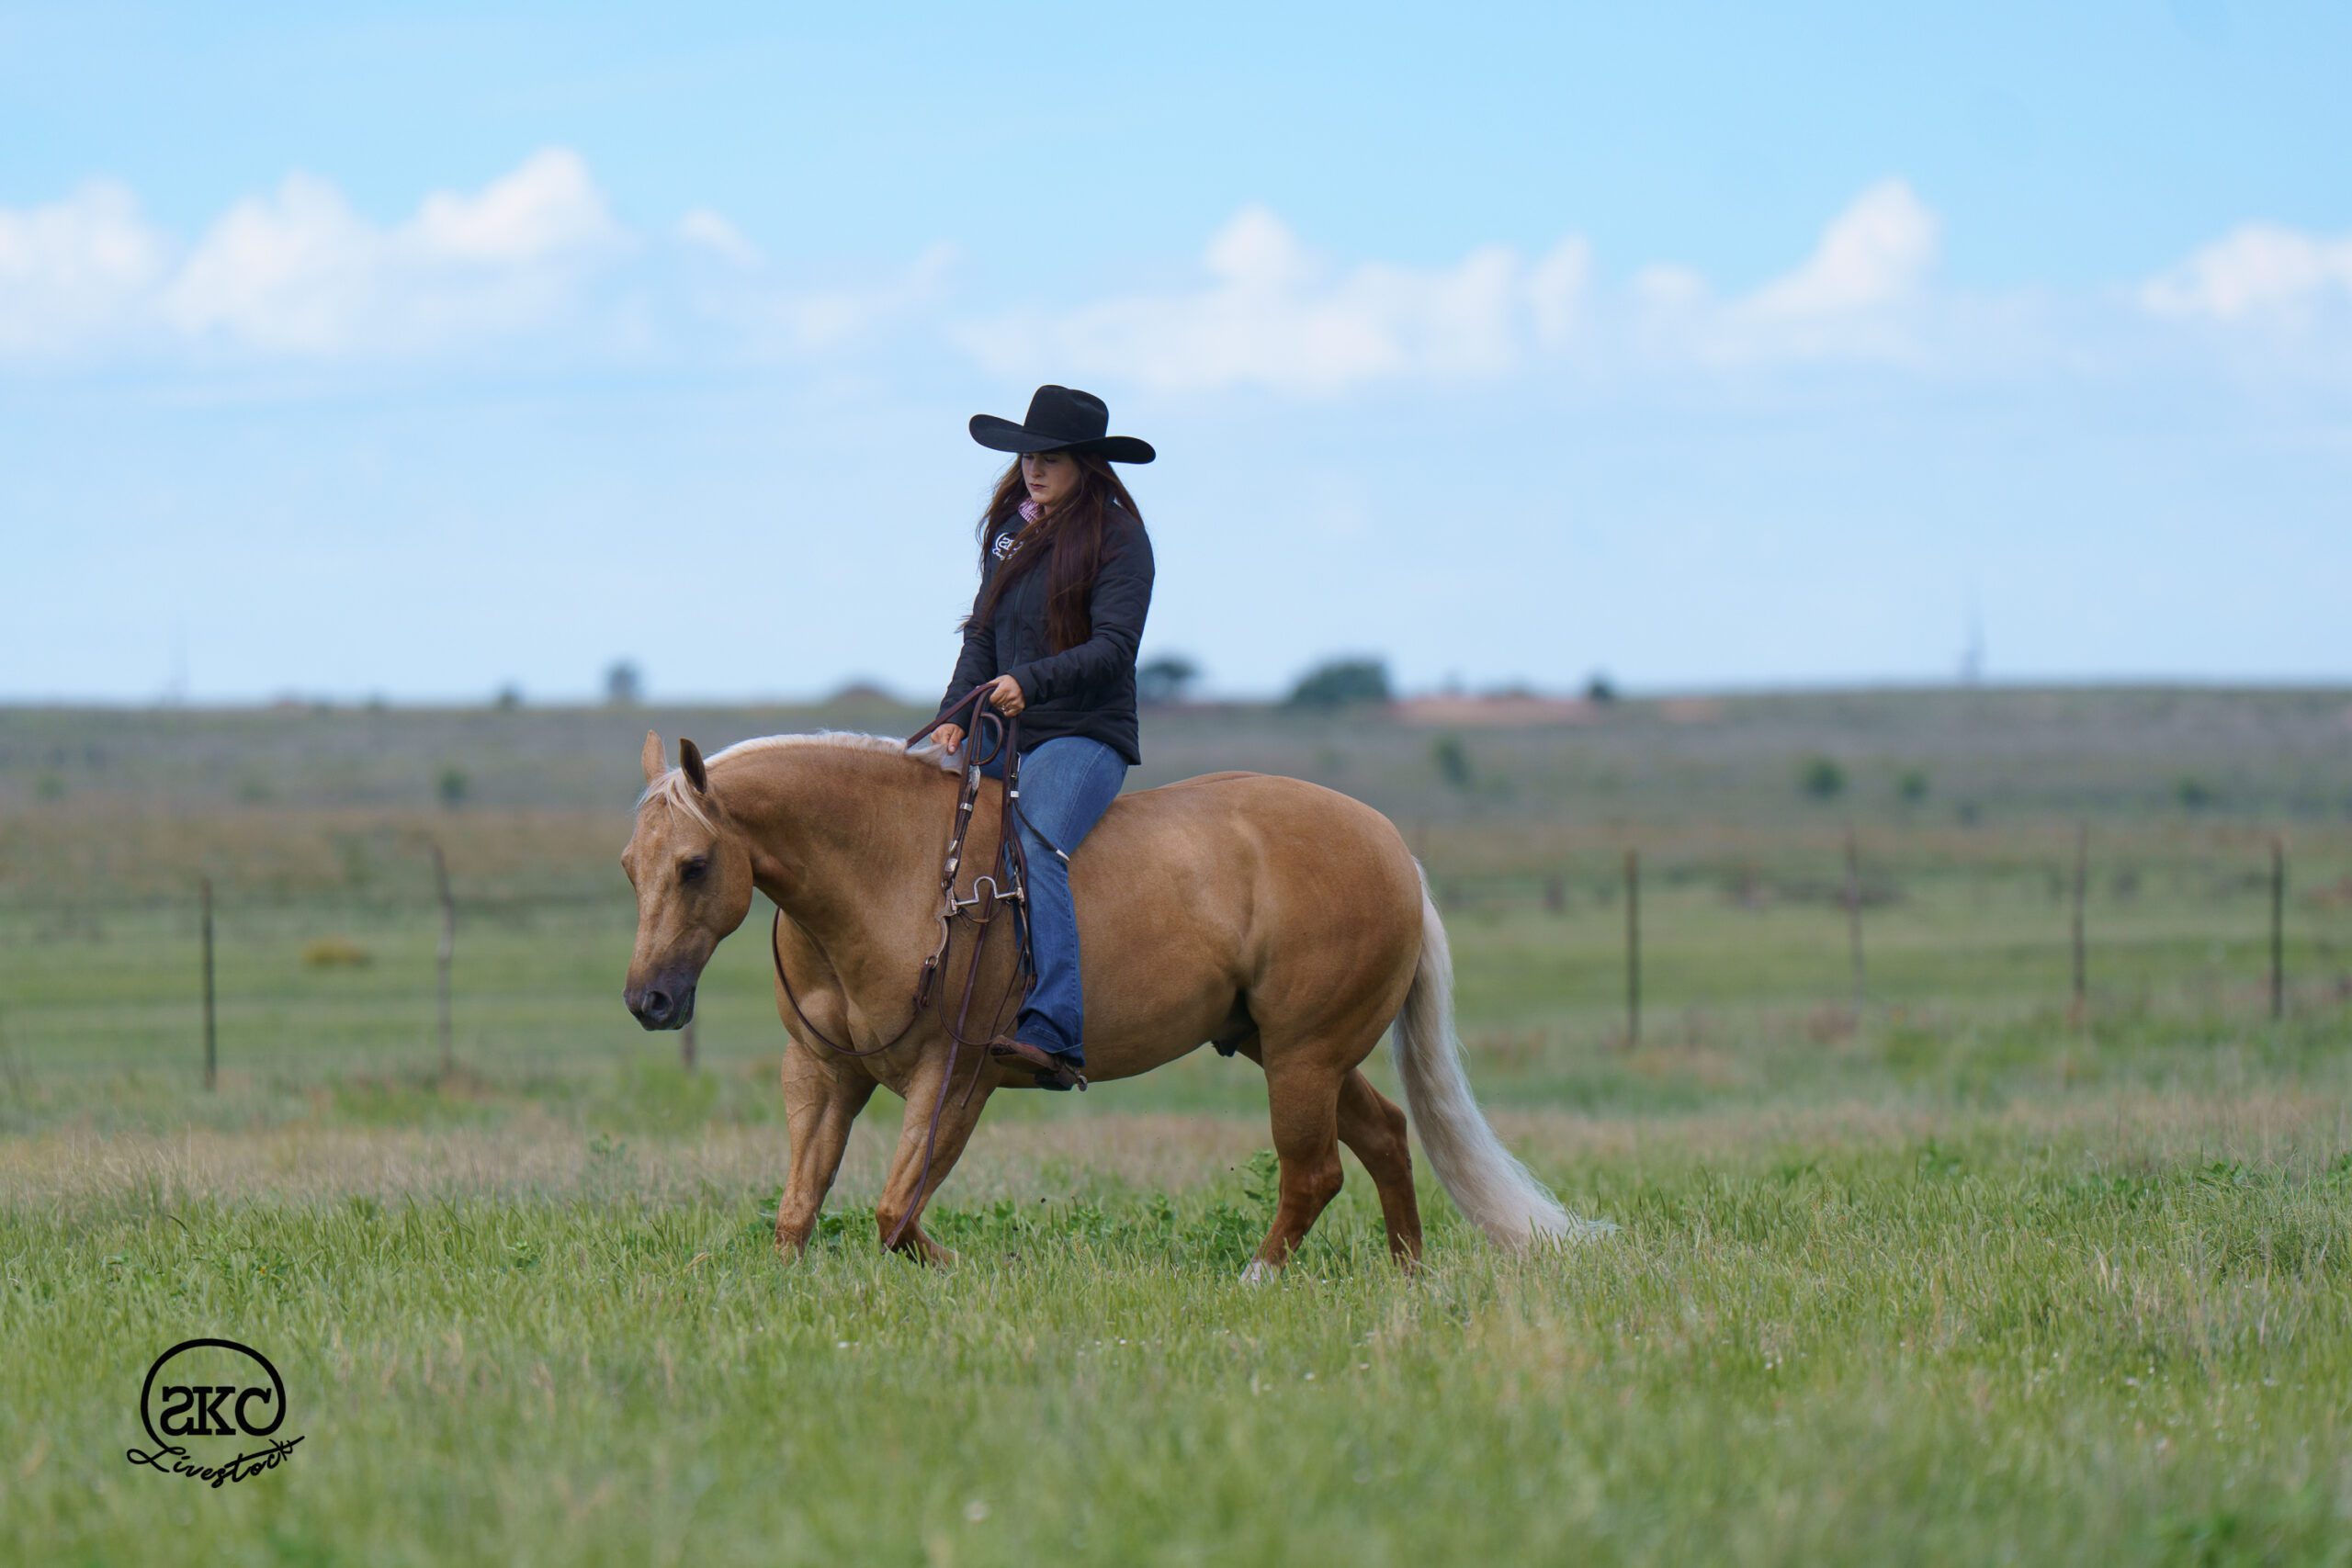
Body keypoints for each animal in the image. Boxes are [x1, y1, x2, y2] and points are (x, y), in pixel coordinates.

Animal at [620, 727, 1606, 1276]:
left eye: (695, 864)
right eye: (632, 866)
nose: (649, 1000)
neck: (897, 871)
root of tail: (1394, 850)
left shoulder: (957, 1075)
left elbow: (895, 1213)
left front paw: (967, 1268)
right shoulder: (824, 1075)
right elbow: (799, 1209)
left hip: (1303, 1057)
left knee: (1316, 1171)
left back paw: (1260, 1276)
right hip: (1290, 1049)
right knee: (1387, 1136)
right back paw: (1408, 1277)